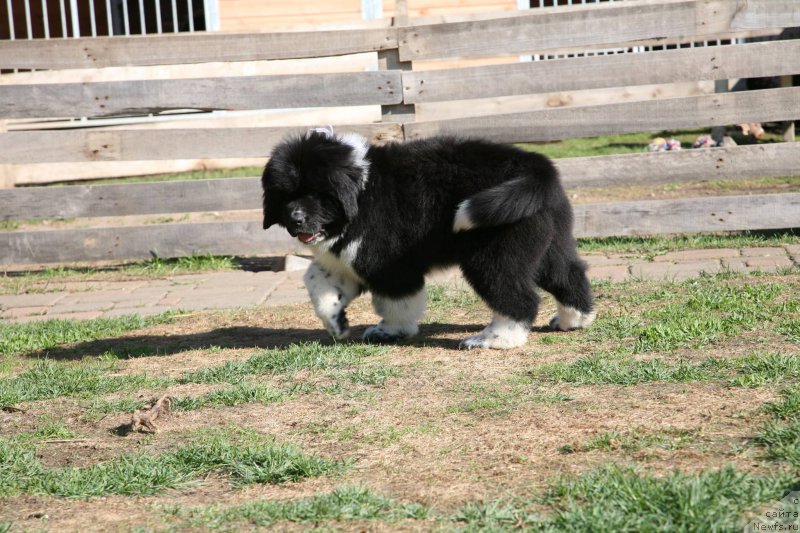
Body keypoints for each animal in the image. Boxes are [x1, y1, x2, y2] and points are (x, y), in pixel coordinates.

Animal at [262, 131, 592, 350]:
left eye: (318, 194)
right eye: (286, 195)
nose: (295, 218)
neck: (361, 191)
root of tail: (535, 167)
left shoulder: (385, 264)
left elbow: (396, 302)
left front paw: (392, 331)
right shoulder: (349, 258)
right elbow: (316, 279)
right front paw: (335, 321)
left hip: (491, 255)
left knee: (518, 296)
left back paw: (495, 339)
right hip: (548, 243)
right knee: (568, 275)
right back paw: (573, 320)